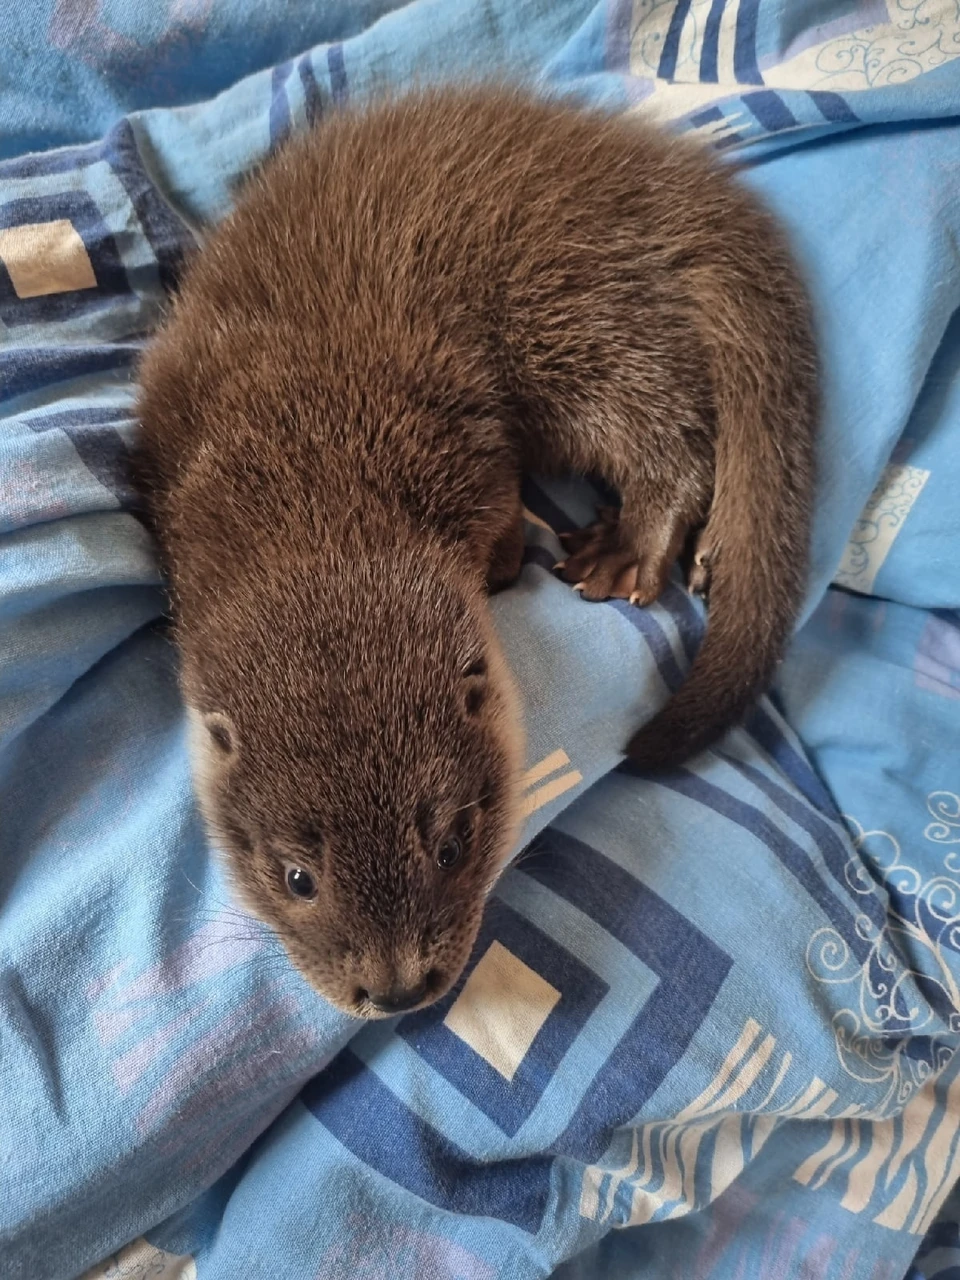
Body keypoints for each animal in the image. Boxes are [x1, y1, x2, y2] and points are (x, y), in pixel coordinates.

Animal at [136, 82, 819, 1018]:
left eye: (453, 842)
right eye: (298, 877)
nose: (395, 992)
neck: (295, 463)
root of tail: (664, 177)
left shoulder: (453, 432)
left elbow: (503, 504)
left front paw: (504, 563)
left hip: (578, 311)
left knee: (671, 429)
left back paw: (628, 550)